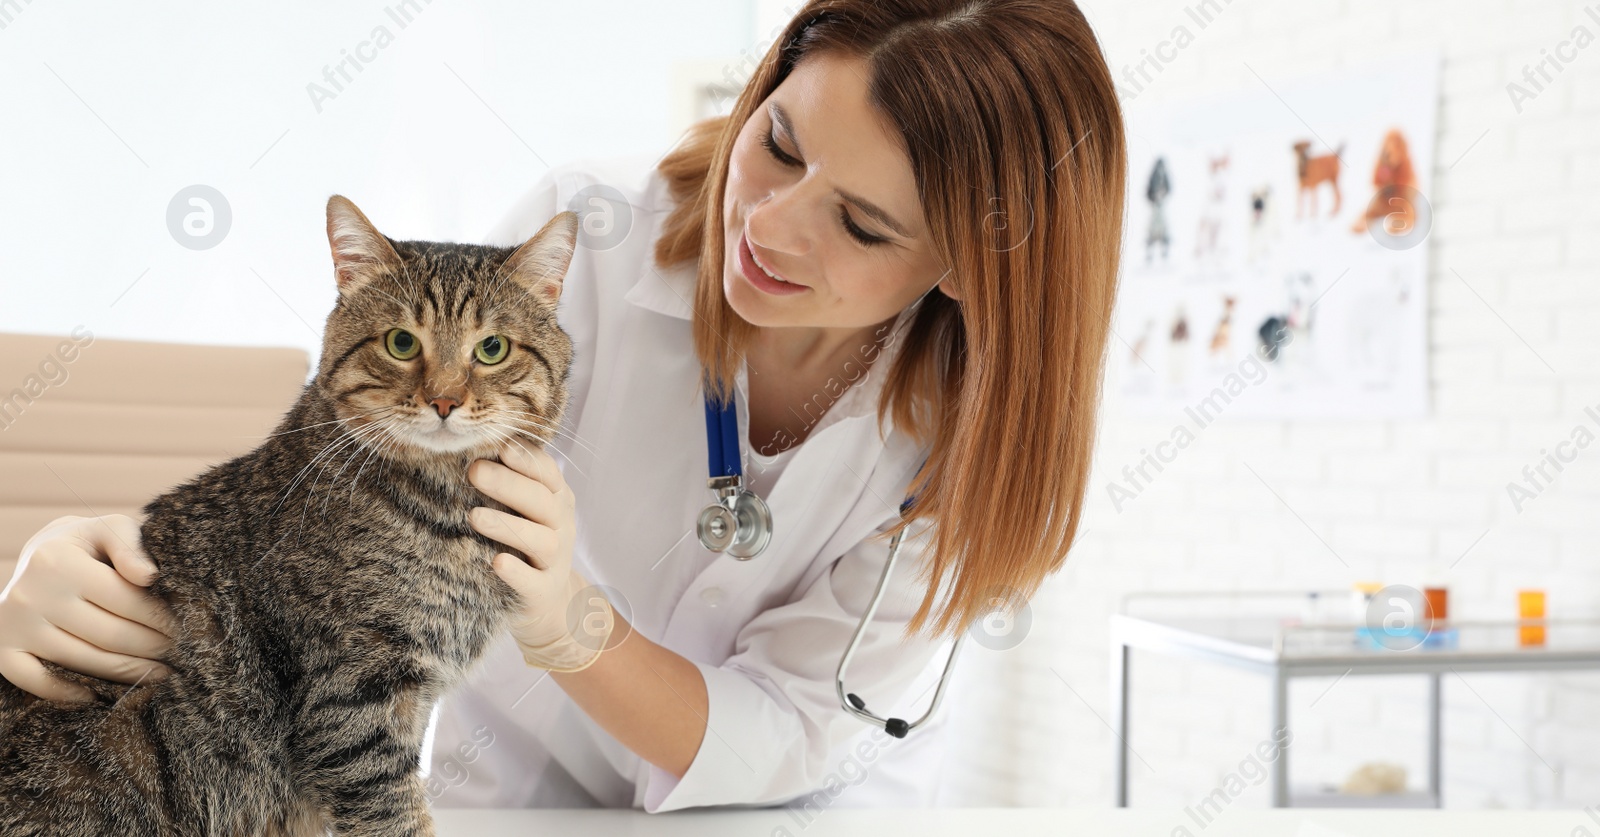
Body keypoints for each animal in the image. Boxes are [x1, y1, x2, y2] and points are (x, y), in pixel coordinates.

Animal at [0, 198, 588, 837]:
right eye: (402, 343)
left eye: (492, 349)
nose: (445, 400)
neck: (447, 508)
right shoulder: (354, 693)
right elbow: (393, 812)